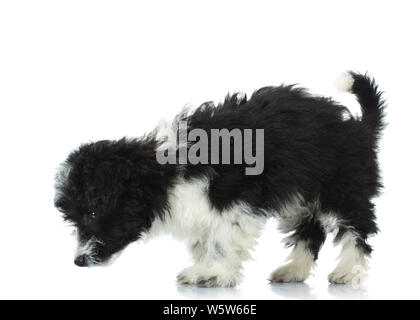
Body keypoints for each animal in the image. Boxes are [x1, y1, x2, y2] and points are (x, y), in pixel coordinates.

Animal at [54, 72, 386, 288]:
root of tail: (358, 126)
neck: (162, 173)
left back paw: (350, 271)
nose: (78, 262)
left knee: (358, 227)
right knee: (310, 230)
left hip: (342, 187)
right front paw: (204, 268)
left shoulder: (234, 204)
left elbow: (222, 241)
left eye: (93, 213)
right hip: (301, 197)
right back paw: (294, 270)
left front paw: (212, 274)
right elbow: (205, 241)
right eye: (74, 219)